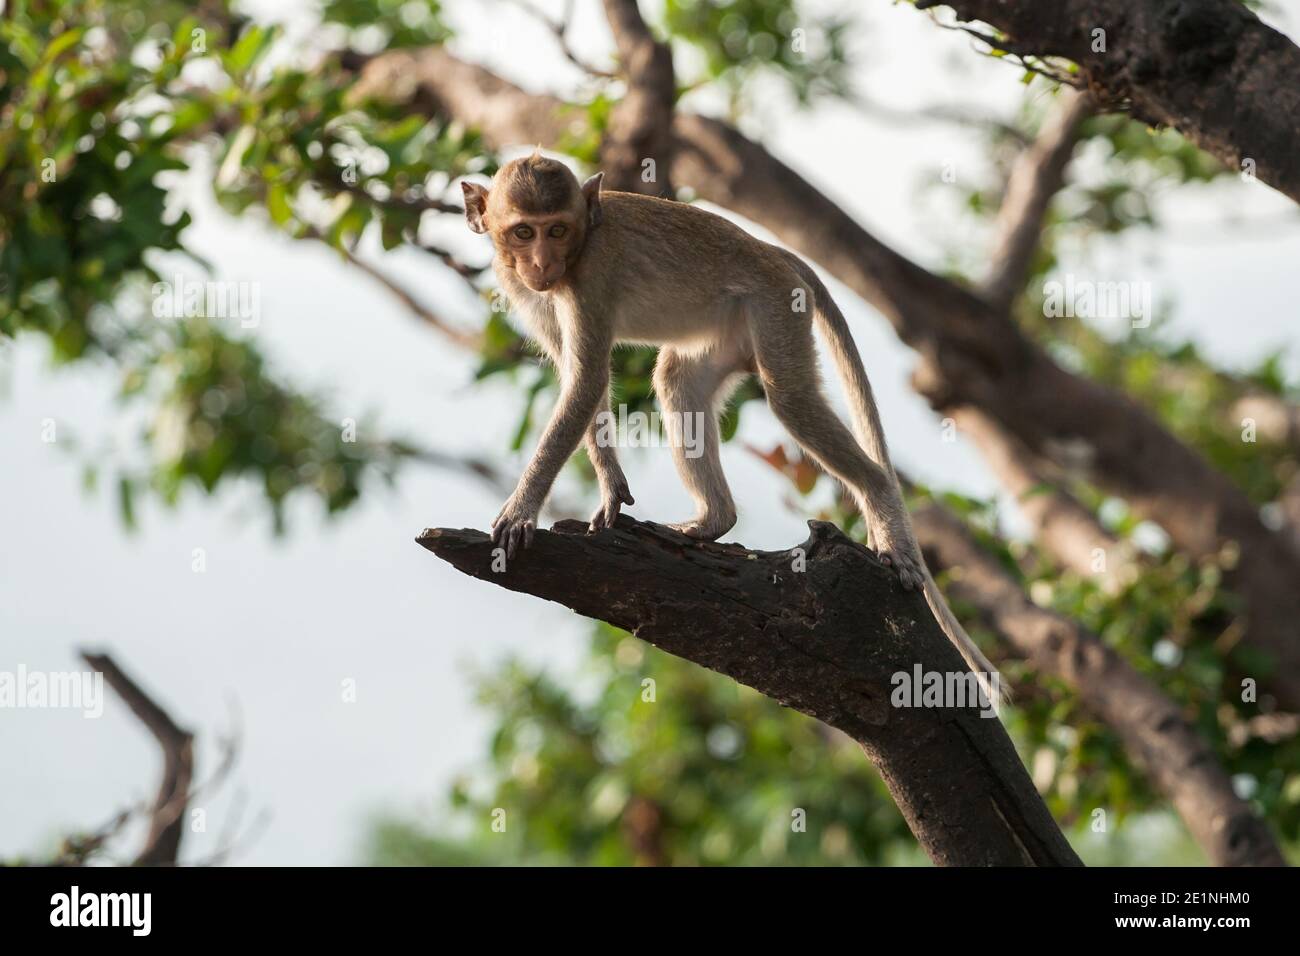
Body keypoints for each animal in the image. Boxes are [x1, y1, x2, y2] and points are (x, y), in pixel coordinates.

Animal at [461, 152, 1001, 695]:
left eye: (557, 230)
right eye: (523, 232)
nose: (541, 265)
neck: (579, 248)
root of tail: (772, 251)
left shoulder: (589, 277)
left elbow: (587, 381)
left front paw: (521, 509)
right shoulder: (527, 290)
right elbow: (580, 385)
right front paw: (611, 485)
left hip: (777, 306)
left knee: (790, 400)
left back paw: (881, 507)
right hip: (729, 329)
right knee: (678, 380)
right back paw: (712, 521)